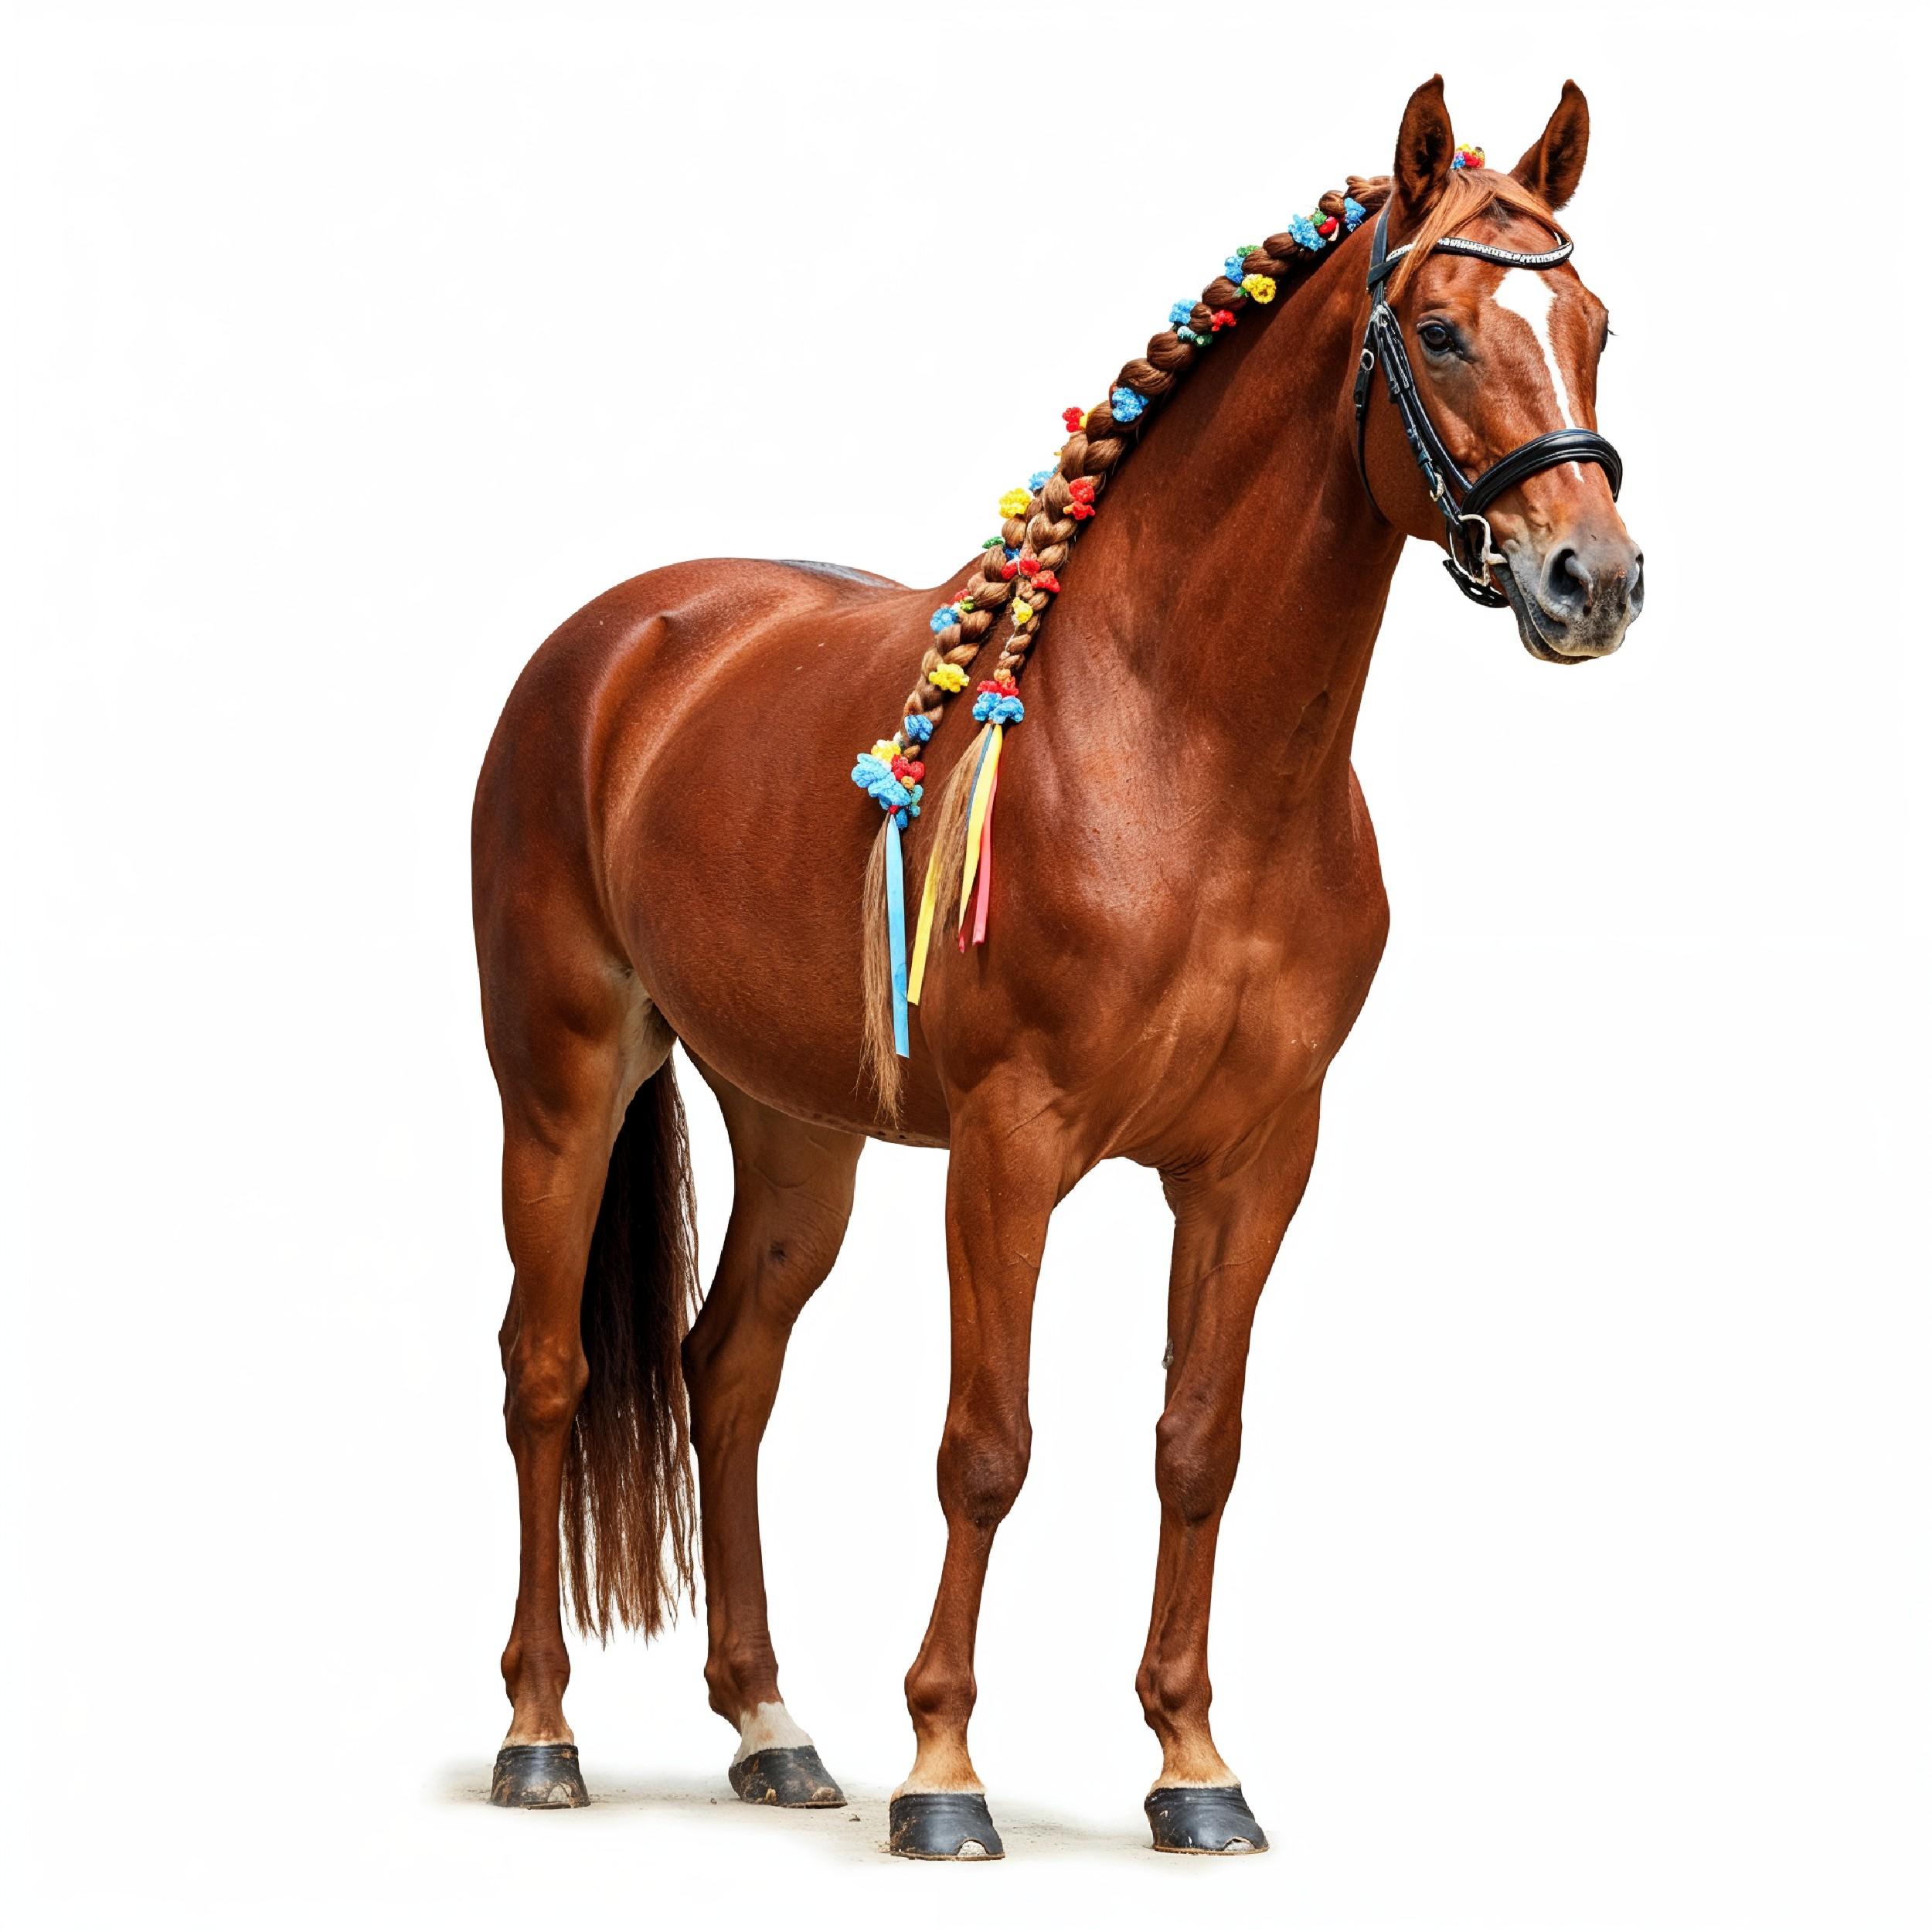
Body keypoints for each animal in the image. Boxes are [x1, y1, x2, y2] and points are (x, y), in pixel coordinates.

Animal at [470, 74, 1642, 1858]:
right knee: (547, 1373)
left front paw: (1194, 1765)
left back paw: (771, 1727)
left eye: (1593, 324)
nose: (1594, 582)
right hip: (562, 1081)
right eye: (1439, 331)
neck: (1182, 748)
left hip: (798, 1125)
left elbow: (1198, 1445)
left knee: (726, 1371)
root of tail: (618, 644)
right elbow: (987, 1444)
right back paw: (541, 1734)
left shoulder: (1254, 1159)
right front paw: (944, 1773)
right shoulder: (1010, 1147)